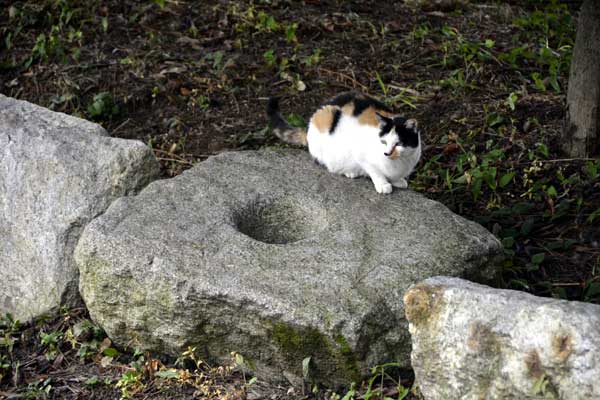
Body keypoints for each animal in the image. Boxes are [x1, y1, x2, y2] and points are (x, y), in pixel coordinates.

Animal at [268, 92, 422, 195]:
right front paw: (383, 184)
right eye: (383, 142)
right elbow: (375, 171)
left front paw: (398, 180)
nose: (386, 153)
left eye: (398, 144)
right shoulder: (361, 156)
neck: (396, 163)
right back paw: (350, 172)